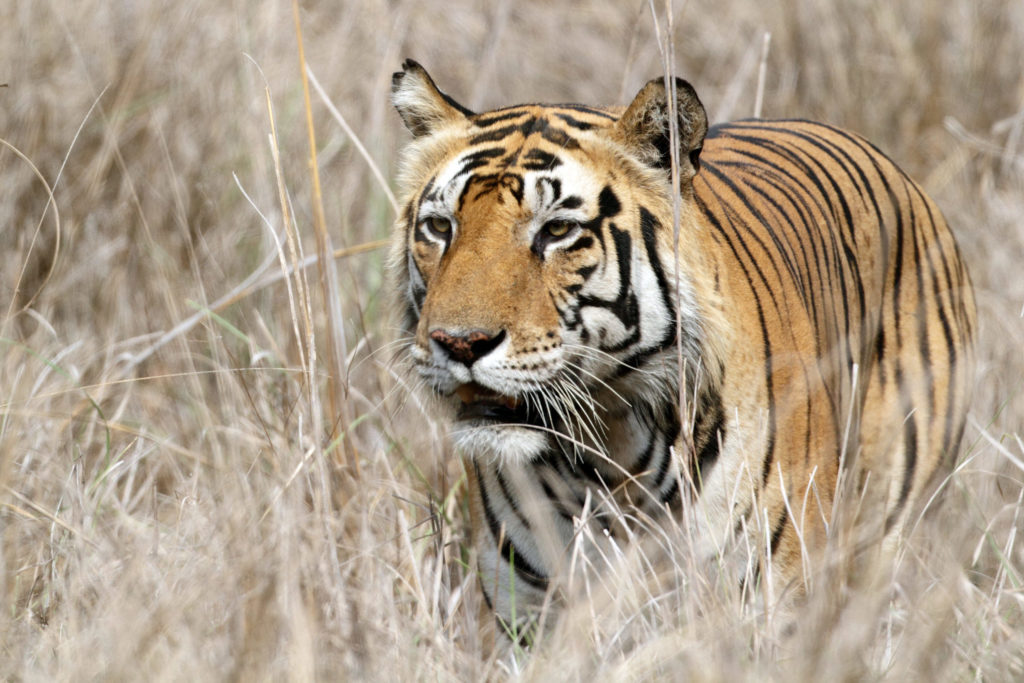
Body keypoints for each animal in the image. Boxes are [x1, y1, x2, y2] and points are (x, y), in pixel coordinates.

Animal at [389, 58, 974, 643]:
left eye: (557, 230)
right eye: (440, 227)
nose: (459, 343)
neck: (608, 447)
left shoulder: (769, 602)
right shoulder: (530, 616)